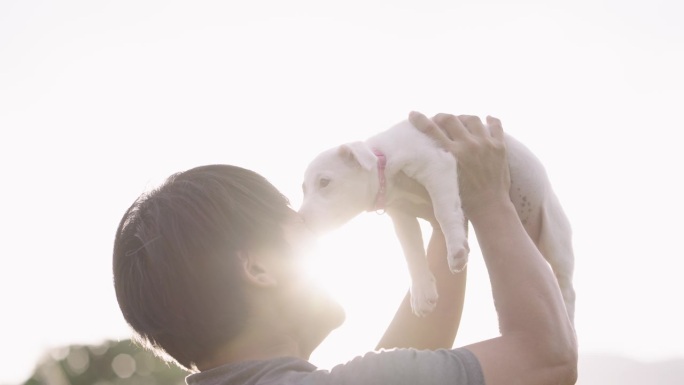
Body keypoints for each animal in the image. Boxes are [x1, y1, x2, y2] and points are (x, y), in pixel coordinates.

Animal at [302, 118, 576, 322]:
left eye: (324, 182)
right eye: (304, 188)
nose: (301, 219)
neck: (383, 161)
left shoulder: (436, 166)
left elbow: (444, 210)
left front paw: (455, 249)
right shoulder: (401, 215)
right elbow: (411, 252)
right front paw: (422, 292)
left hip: (555, 234)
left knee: (566, 285)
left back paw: (568, 319)